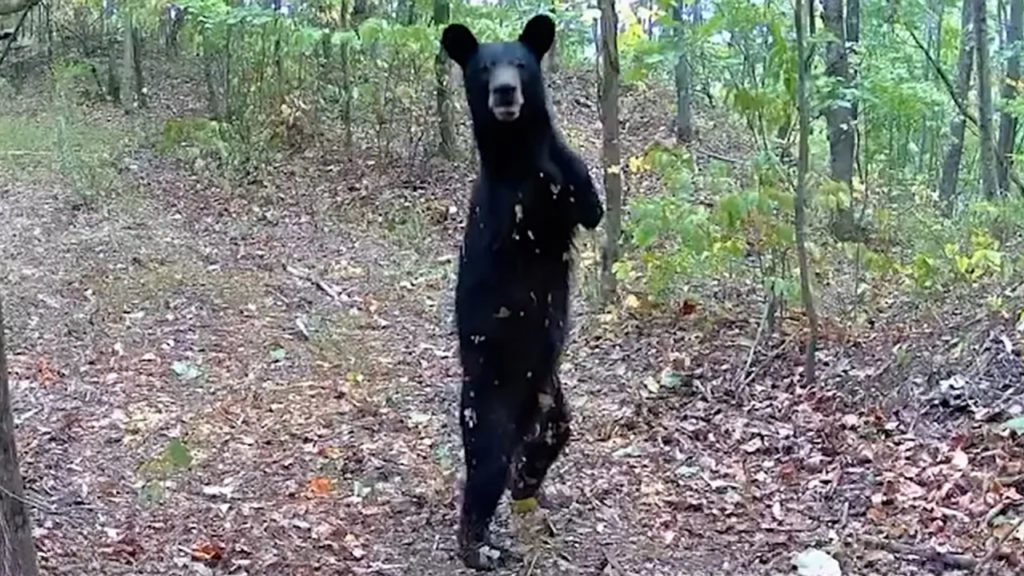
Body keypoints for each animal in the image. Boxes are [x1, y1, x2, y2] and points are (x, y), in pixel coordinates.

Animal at [440, 14, 598, 569]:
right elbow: (527, 215)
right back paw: (480, 548)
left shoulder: (570, 180)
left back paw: (528, 485)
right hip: (489, 399)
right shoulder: (508, 207)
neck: (515, 149)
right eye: (485, 67)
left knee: (549, 439)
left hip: (552, 398)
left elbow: (587, 200)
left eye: (521, 64)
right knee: (485, 468)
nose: (505, 92)